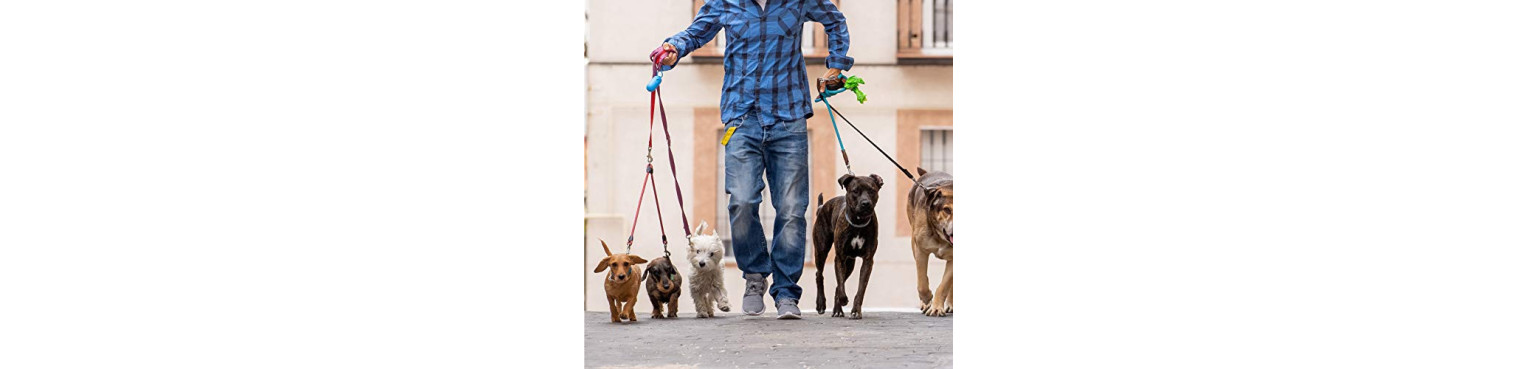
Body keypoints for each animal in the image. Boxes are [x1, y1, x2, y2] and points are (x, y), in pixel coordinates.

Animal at [812, 174, 885, 318]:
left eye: (872, 190)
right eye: (855, 191)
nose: (865, 203)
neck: (859, 222)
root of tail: (821, 207)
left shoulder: (867, 261)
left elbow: (860, 288)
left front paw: (856, 310)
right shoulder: (840, 258)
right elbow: (840, 284)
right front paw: (843, 299)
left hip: (850, 263)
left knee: (837, 284)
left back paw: (837, 310)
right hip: (821, 250)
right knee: (819, 275)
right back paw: (821, 304)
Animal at [904, 168, 953, 315]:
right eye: (947, 209)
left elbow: (944, 285)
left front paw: (937, 307)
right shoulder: (920, 250)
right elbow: (922, 282)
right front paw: (927, 299)